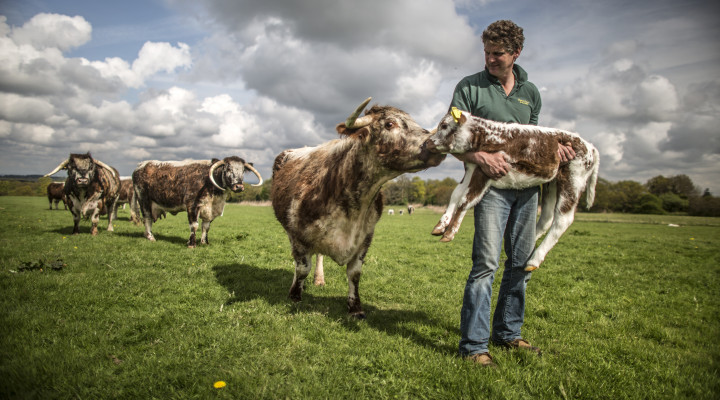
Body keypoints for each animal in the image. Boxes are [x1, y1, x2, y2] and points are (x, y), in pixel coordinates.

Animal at [131, 156, 262, 247]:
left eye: (243, 170)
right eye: (228, 168)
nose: (239, 187)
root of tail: (140, 165)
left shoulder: (210, 210)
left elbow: (206, 227)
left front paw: (204, 242)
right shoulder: (192, 205)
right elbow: (194, 225)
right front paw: (191, 244)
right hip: (143, 199)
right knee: (147, 218)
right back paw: (150, 237)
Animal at [270, 97, 444, 318]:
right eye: (389, 124)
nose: (436, 144)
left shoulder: (365, 237)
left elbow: (354, 274)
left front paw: (355, 308)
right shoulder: (299, 236)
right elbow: (302, 268)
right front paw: (294, 295)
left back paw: (320, 279)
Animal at [424, 108, 600, 272]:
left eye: (444, 125)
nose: (426, 143)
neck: (490, 135)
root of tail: (590, 147)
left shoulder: (486, 171)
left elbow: (466, 200)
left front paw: (449, 233)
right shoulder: (473, 168)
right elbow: (456, 194)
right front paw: (441, 225)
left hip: (573, 181)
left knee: (563, 220)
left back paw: (534, 260)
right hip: (552, 183)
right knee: (547, 217)